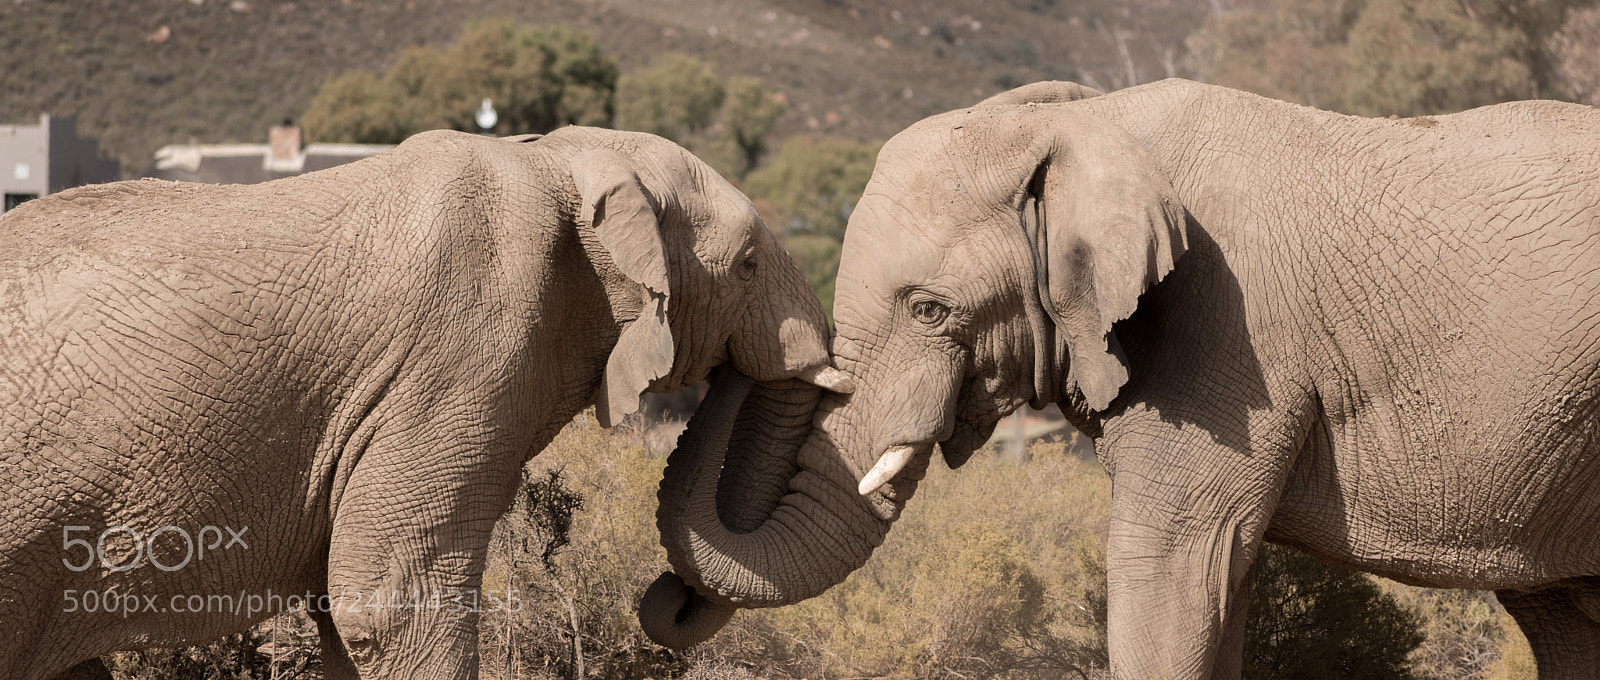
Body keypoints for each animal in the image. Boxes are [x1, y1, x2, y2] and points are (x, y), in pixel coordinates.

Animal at [0, 126, 853, 680]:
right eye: (748, 264)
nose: (668, 596)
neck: (559, 156)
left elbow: (349, 615)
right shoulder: (458, 353)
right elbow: (390, 605)